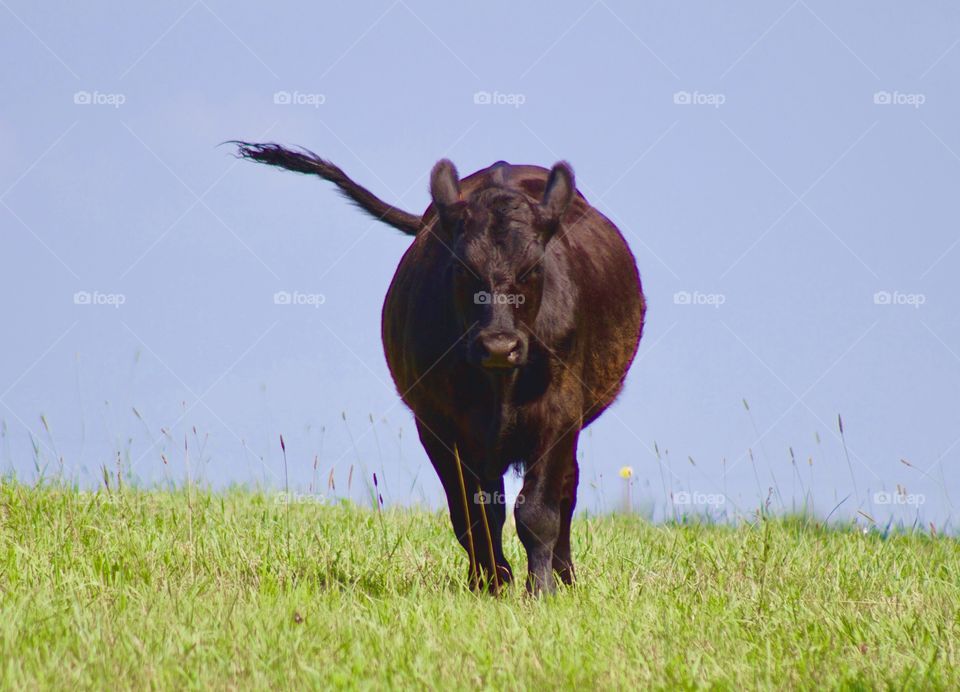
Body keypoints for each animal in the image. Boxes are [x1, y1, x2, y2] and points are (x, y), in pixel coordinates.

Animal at [232, 143, 644, 592]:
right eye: (463, 267)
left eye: (533, 268)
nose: (499, 346)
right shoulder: (437, 423)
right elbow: (473, 514)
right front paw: (490, 585)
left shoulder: (559, 412)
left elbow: (539, 512)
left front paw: (541, 589)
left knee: (565, 493)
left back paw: (565, 576)